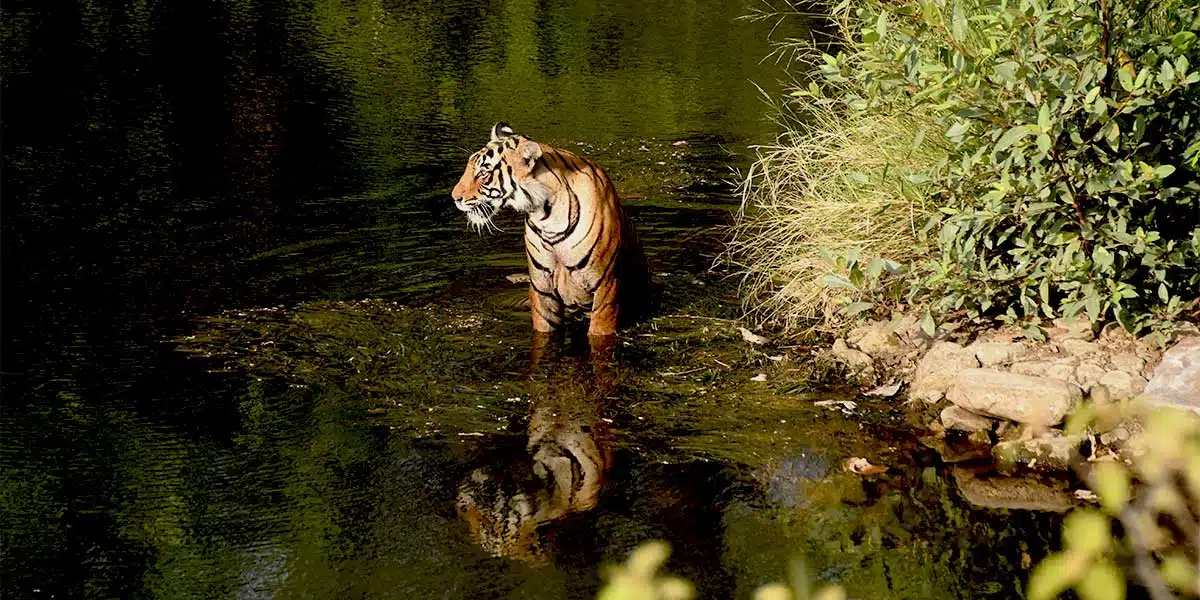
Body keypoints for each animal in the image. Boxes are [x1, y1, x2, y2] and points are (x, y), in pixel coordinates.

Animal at [451, 123, 652, 338]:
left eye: (483, 173)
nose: (454, 197)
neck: (547, 219)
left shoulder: (606, 286)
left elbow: (599, 332)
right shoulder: (542, 289)